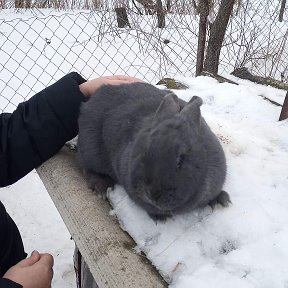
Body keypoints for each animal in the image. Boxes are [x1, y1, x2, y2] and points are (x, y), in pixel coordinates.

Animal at [77, 82, 231, 219]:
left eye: (180, 160)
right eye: (145, 152)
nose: (152, 194)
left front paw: (221, 201)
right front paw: (161, 217)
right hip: (89, 150)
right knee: (87, 168)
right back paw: (101, 187)